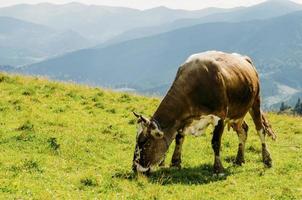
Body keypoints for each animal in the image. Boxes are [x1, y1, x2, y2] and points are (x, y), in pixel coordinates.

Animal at [132, 51, 276, 173]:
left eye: (145, 142)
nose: (134, 167)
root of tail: (245, 59)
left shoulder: (220, 116)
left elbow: (215, 142)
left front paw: (218, 169)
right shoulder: (184, 119)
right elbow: (179, 138)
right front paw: (175, 163)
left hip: (255, 101)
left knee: (260, 130)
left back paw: (267, 160)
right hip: (236, 113)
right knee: (243, 130)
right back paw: (239, 160)